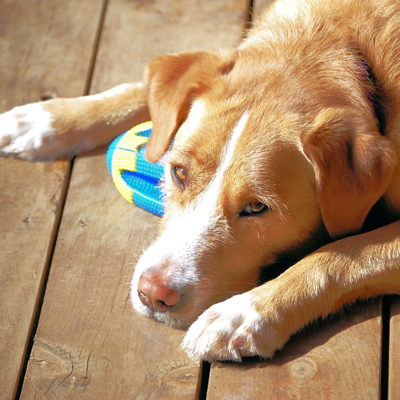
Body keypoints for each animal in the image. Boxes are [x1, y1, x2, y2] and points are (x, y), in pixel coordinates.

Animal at [0, 0, 400, 362]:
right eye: (178, 172)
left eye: (257, 207)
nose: (153, 294)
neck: (340, 46)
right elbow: (139, 87)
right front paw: (46, 119)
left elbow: (339, 257)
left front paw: (244, 314)